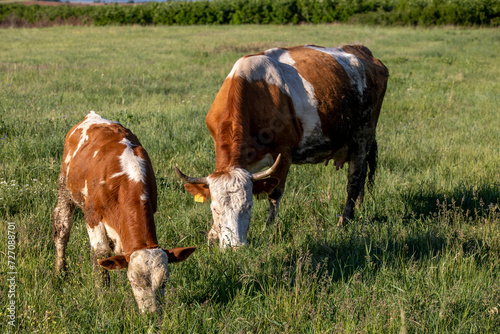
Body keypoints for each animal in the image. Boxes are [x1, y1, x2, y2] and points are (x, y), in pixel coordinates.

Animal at [53, 111, 195, 314]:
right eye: (134, 282)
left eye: (164, 282)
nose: (153, 314)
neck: (128, 178)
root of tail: (91, 116)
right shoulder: (92, 215)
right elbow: (101, 254)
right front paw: (102, 295)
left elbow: (118, 254)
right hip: (65, 189)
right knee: (62, 230)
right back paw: (61, 272)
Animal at [176, 43, 390, 248]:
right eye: (214, 208)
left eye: (249, 206)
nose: (235, 247)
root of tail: (361, 50)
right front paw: (213, 234)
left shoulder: (284, 153)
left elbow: (274, 192)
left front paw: (269, 229)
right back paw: (359, 207)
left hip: (363, 135)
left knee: (354, 179)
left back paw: (344, 219)